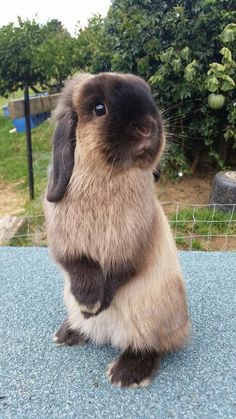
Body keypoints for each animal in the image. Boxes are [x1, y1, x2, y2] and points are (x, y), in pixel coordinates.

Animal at [44, 71, 191, 388]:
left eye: (150, 97)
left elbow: (117, 273)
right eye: (99, 109)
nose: (147, 125)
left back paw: (125, 372)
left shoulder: (133, 243)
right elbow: (78, 265)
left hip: (154, 315)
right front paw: (89, 303)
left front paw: (96, 305)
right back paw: (69, 331)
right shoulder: (64, 241)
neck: (109, 175)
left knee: (152, 346)